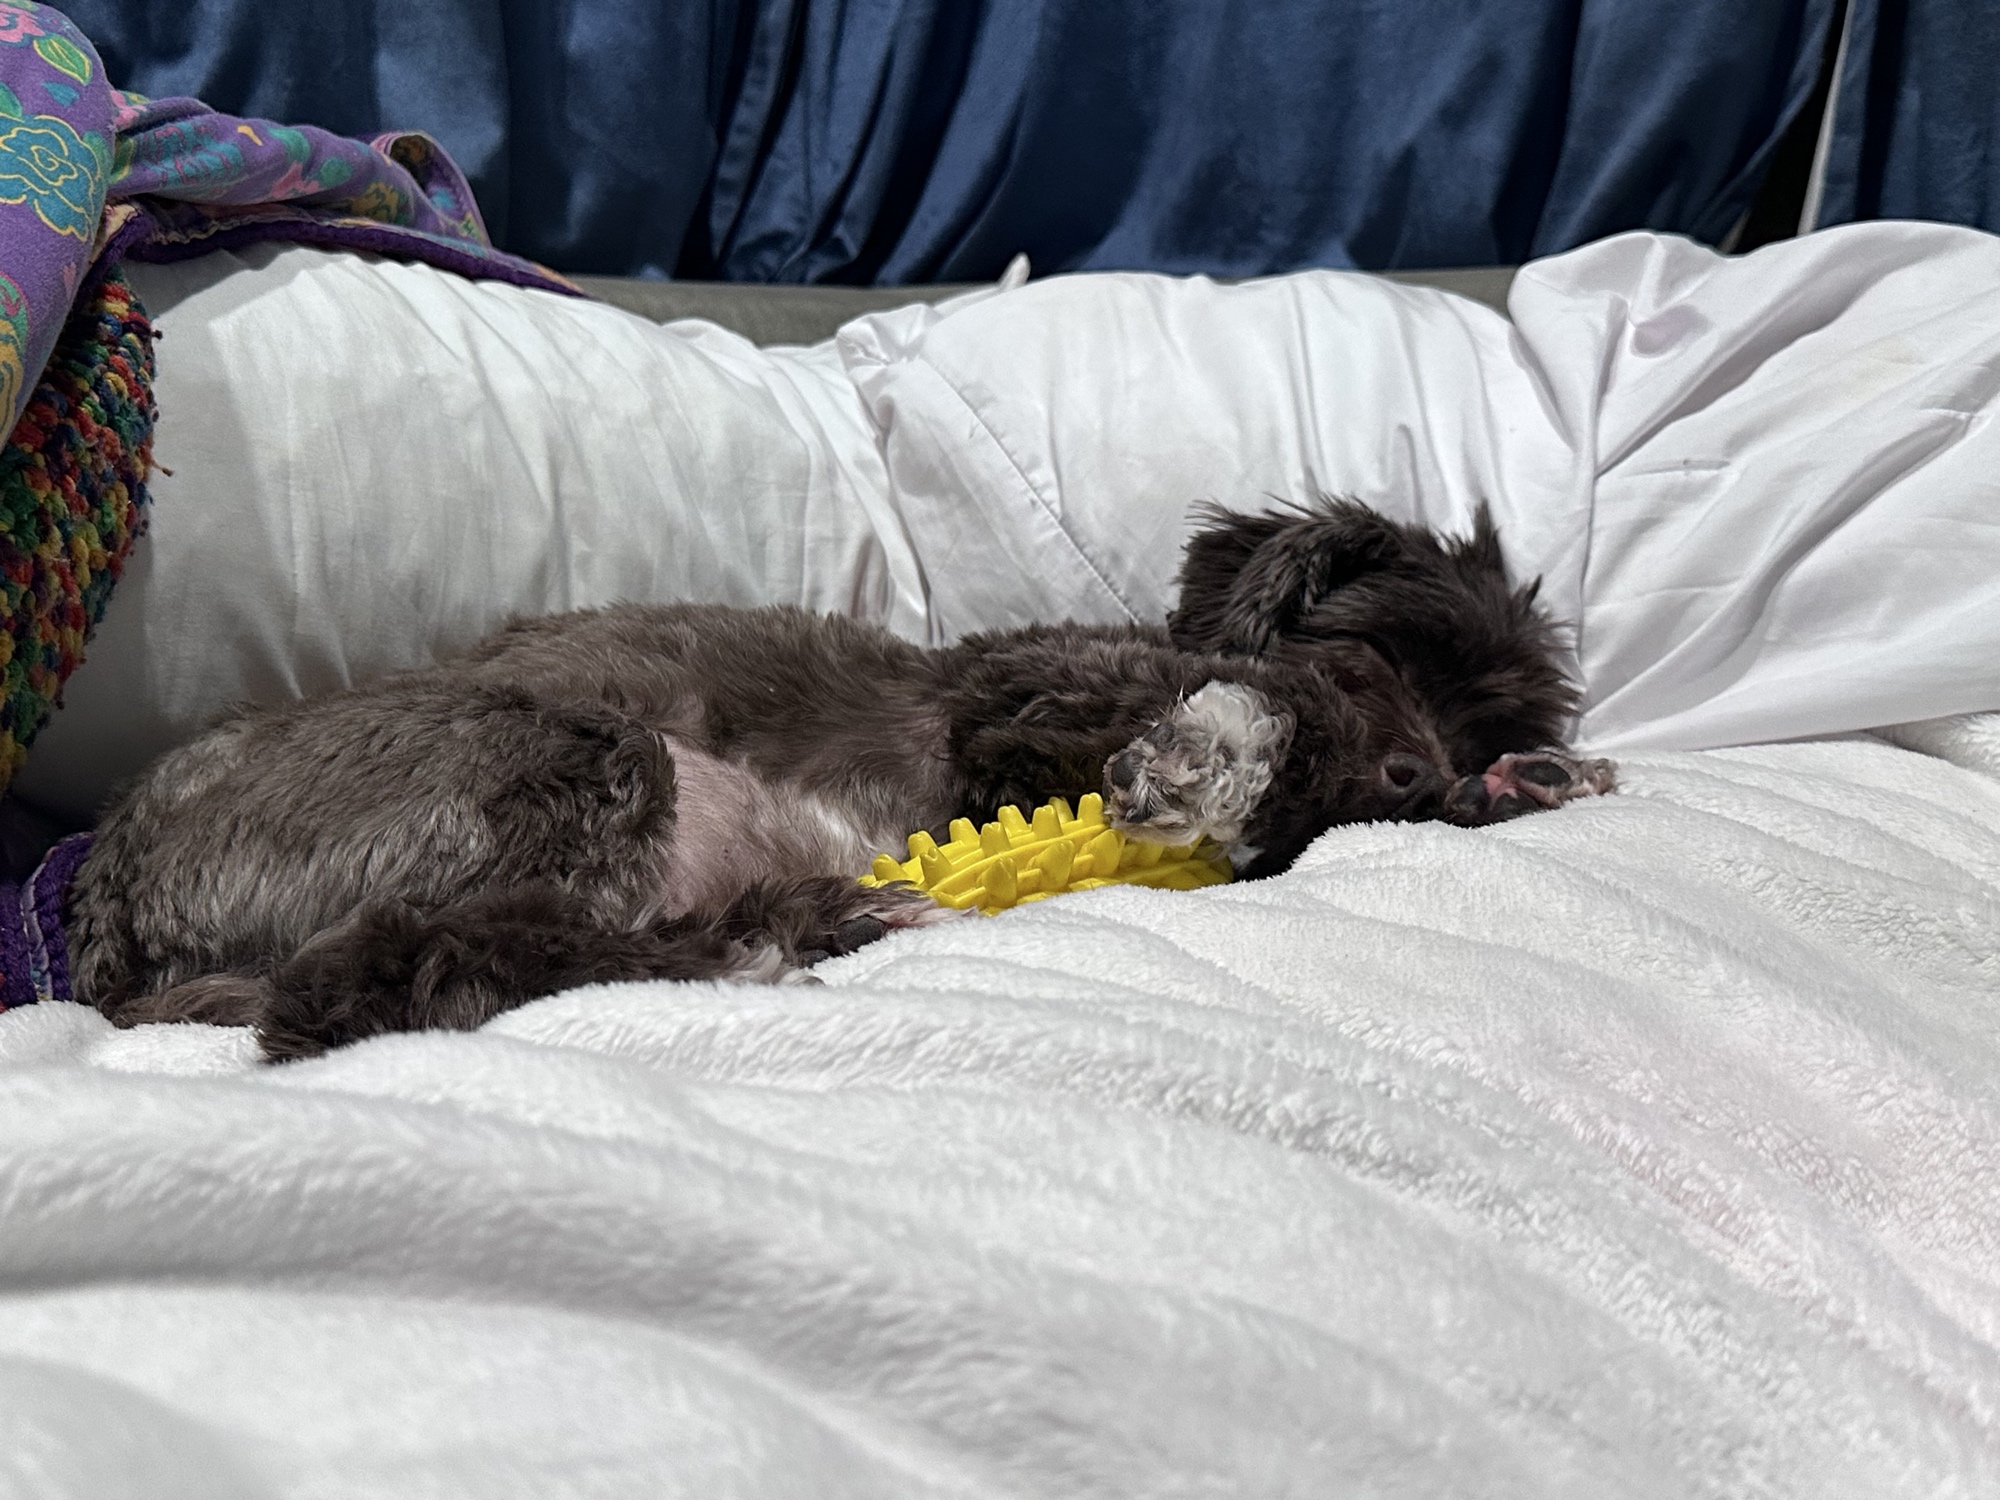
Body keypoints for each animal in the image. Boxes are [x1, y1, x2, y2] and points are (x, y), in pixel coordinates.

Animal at [65, 497, 1613, 1059]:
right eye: (1382, 648)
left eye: (1482, 716)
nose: (1430, 777)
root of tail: (108, 907)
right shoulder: (1013, 717)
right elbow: (1229, 731)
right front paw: (1219, 756)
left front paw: (1533, 783)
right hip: (571, 758)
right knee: (377, 978)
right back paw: (782, 930)